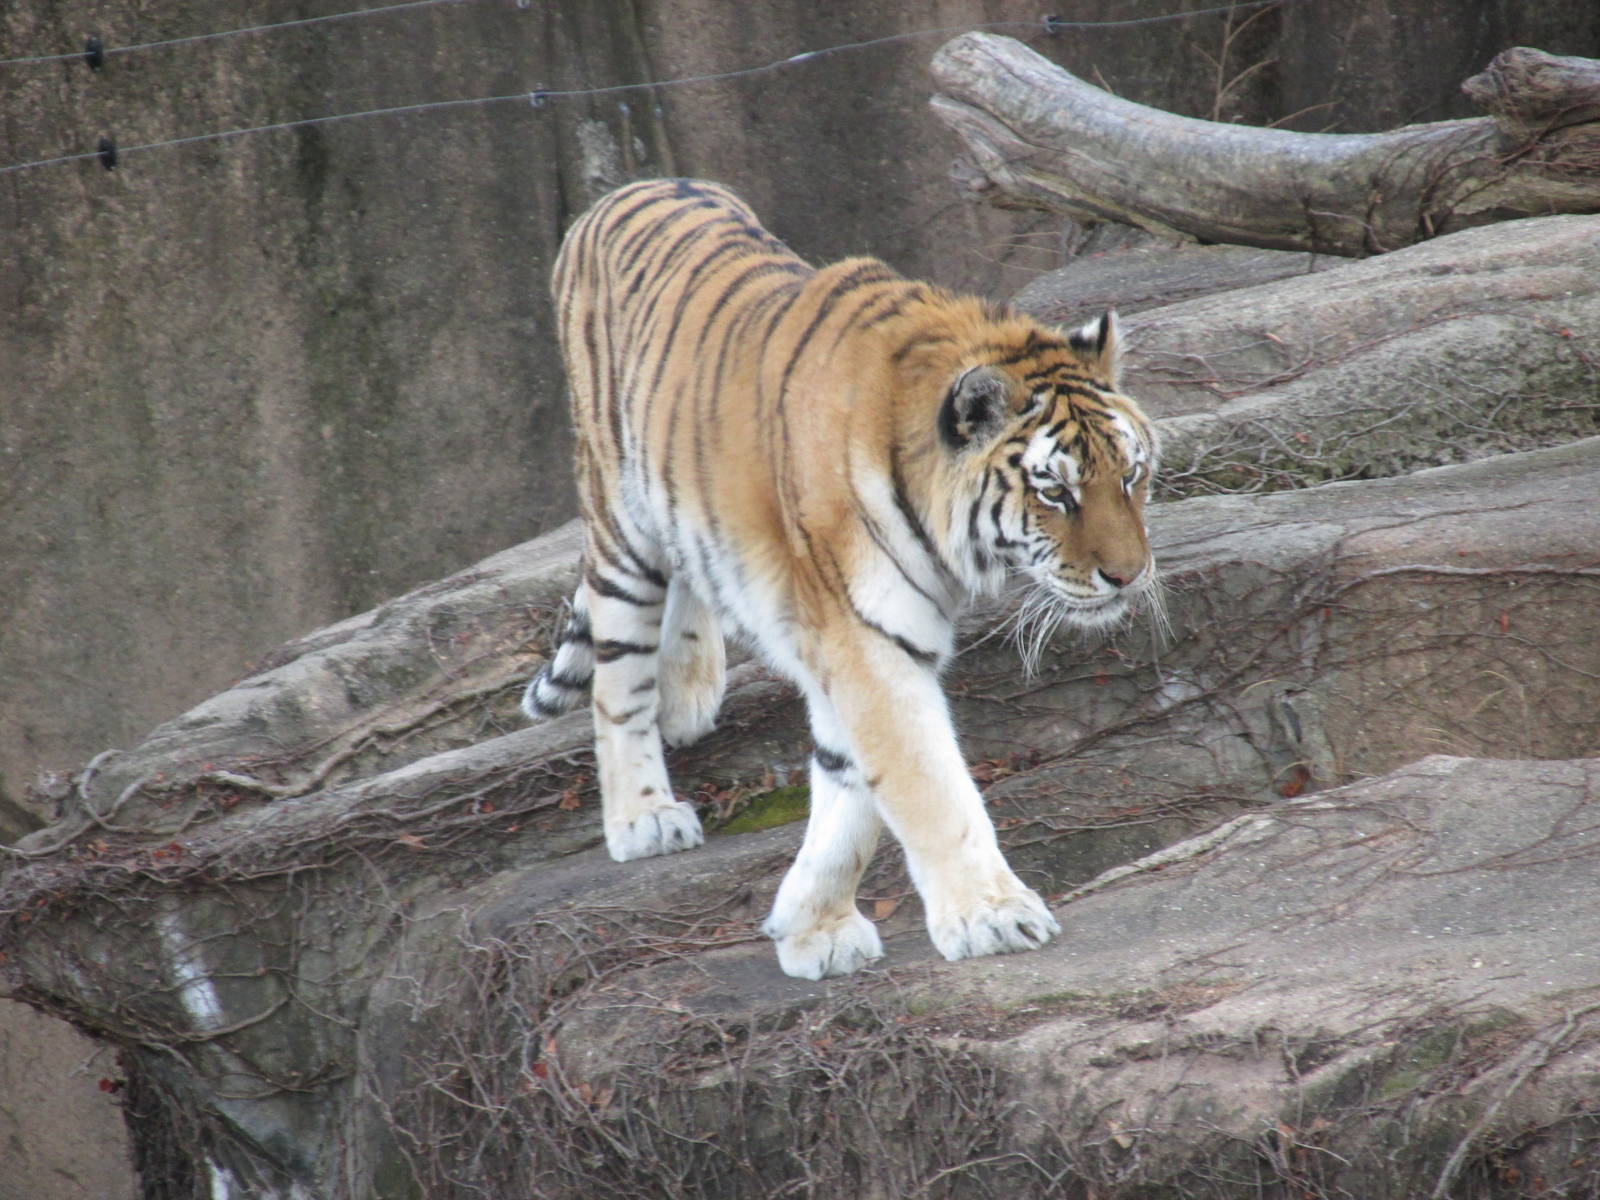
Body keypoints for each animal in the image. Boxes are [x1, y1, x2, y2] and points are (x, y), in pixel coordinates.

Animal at [523, 179, 1158, 980]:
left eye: (1131, 475)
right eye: (1055, 492)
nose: (1129, 576)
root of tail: (627, 189)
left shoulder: (851, 643)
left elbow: (847, 790)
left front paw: (809, 926)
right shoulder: (865, 642)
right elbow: (928, 788)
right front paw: (992, 916)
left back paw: (689, 690)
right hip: (619, 521)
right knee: (616, 681)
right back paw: (643, 816)